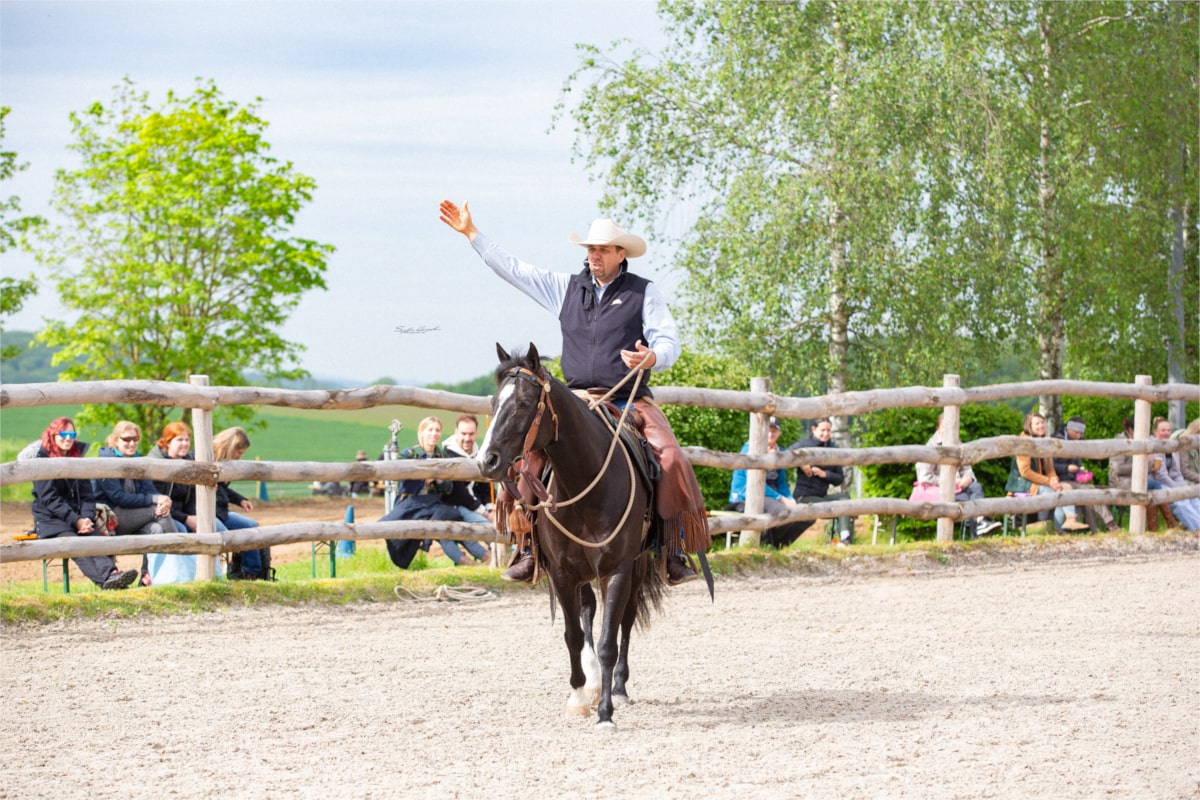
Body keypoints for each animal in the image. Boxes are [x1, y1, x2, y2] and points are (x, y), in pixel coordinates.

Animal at [477, 340, 667, 729]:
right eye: (493, 402)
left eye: (523, 403)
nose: (487, 460)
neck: (587, 485)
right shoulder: (562, 573)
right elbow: (573, 635)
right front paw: (580, 695)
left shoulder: (617, 570)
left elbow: (610, 639)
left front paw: (606, 712)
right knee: (589, 611)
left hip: (636, 567)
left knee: (626, 619)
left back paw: (619, 687)